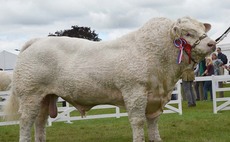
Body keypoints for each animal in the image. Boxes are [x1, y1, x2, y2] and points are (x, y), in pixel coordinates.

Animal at [4, 16, 216, 142]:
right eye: (188, 33)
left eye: (202, 29)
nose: (212, 43)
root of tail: (37, 41)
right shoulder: (135, 93)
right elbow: (138, 121)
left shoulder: (156, 98)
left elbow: (153, 122)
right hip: (30, 95)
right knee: (26, 121)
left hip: (46, 96)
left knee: (40, 121)